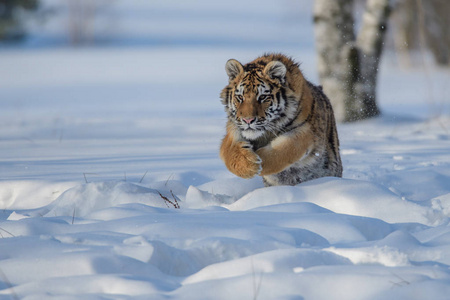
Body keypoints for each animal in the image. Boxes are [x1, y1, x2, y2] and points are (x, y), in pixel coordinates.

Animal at [218, 52, 342, 186]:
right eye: (240, 97)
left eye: (263, 97)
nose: (248, 120)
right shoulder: (233, 126)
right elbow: (229, 149)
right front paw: (248, 165)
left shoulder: (308, 132)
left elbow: (284, 149)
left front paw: (259, 160)